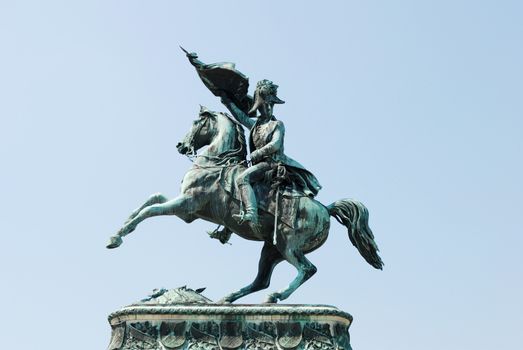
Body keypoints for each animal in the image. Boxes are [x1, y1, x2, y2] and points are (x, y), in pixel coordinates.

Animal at [107, 109, 384, 304]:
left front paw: (117, 238)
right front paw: (119, 229)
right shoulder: (188, 209)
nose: (180, 146)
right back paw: (227, 299)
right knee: (261, 280)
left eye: (196, 122)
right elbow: (150, 200)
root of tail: (325, 209)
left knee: (307, 269)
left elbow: (150, 210)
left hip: (289, 245)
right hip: (271, 249)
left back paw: (276, 296)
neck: (215, 162)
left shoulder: (186, 205)